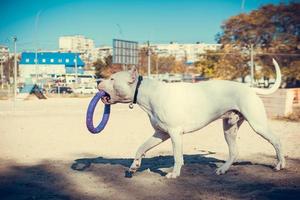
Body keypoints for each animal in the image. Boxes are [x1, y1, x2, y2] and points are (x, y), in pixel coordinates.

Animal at [98, 59, 286, 178]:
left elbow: (177, 156)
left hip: (258, 125)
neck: (147, 92)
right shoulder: (160, 134)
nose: (98, 80)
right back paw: (222, 170)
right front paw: (134, 166)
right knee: (234, 152)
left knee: (277, 141)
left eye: (112, 78)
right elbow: (141, 148)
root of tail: (249, 87)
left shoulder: (174, 134)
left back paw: (280, 165)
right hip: (229, 129)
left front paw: (174, 173)